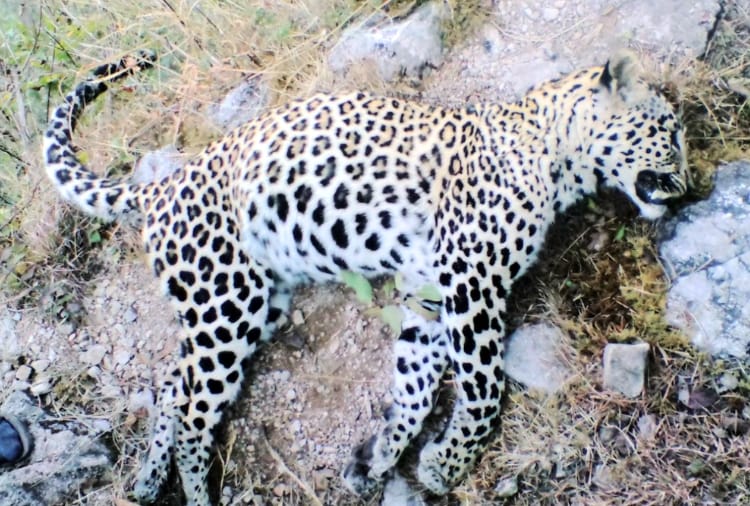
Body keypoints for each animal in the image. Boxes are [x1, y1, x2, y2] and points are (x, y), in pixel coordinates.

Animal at [42, 50, 689, 505]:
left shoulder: (430, 292)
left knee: (175, 385)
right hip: (226, 302)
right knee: (196, 416)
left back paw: (149, 480)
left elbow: (416, 383)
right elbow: (483, 386)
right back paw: (196, 493)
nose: (688, 186)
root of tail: (160, 185)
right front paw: (448, 464)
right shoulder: (470, 280)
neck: (550, 149)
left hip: (245, 305)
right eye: (670, 132)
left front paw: (381, 457)